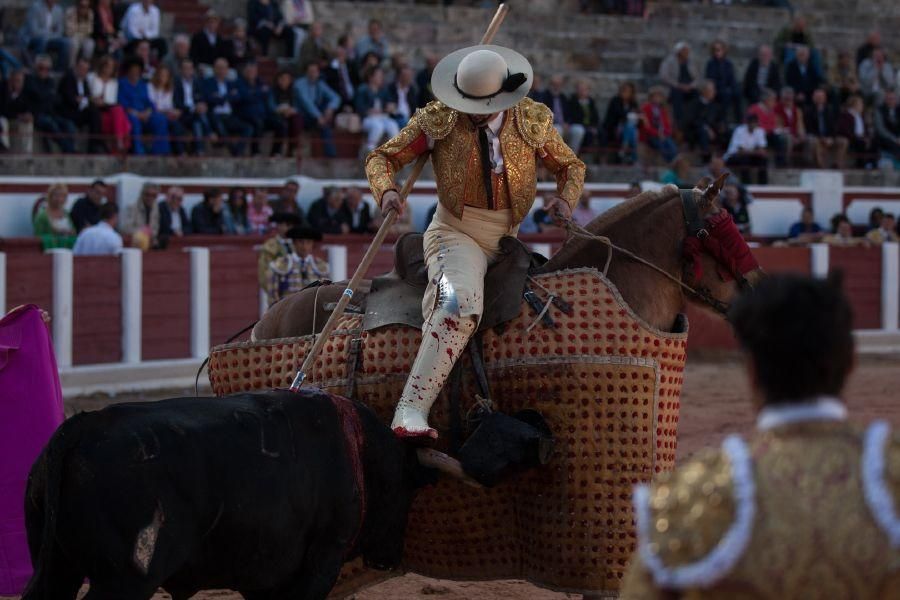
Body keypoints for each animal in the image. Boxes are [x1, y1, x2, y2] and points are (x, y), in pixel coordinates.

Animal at [22, 390, 428, 600]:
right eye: (402, 489)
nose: (389, 559)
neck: (357, 447)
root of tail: (82, 425)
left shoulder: (264, 572)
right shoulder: (323, 556)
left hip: (57, 566)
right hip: (123, 581)